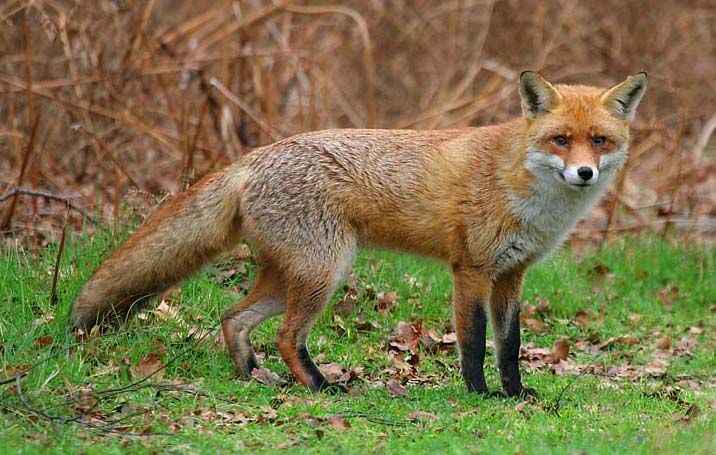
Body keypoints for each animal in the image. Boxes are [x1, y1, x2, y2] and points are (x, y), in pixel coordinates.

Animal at [71, 71, 648, 400]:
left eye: (599, 140)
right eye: (561, 140)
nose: (584, 174)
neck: (528, 193)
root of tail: (253, 157)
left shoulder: (511, 275)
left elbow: (510, 345)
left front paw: (517, 395)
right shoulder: (471, 269)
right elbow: (474, 342)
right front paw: (479, 395)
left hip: (292, 275)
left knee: (233, 319)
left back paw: (253, 377)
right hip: (326, 272)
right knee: (286, 335)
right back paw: (322, 387)